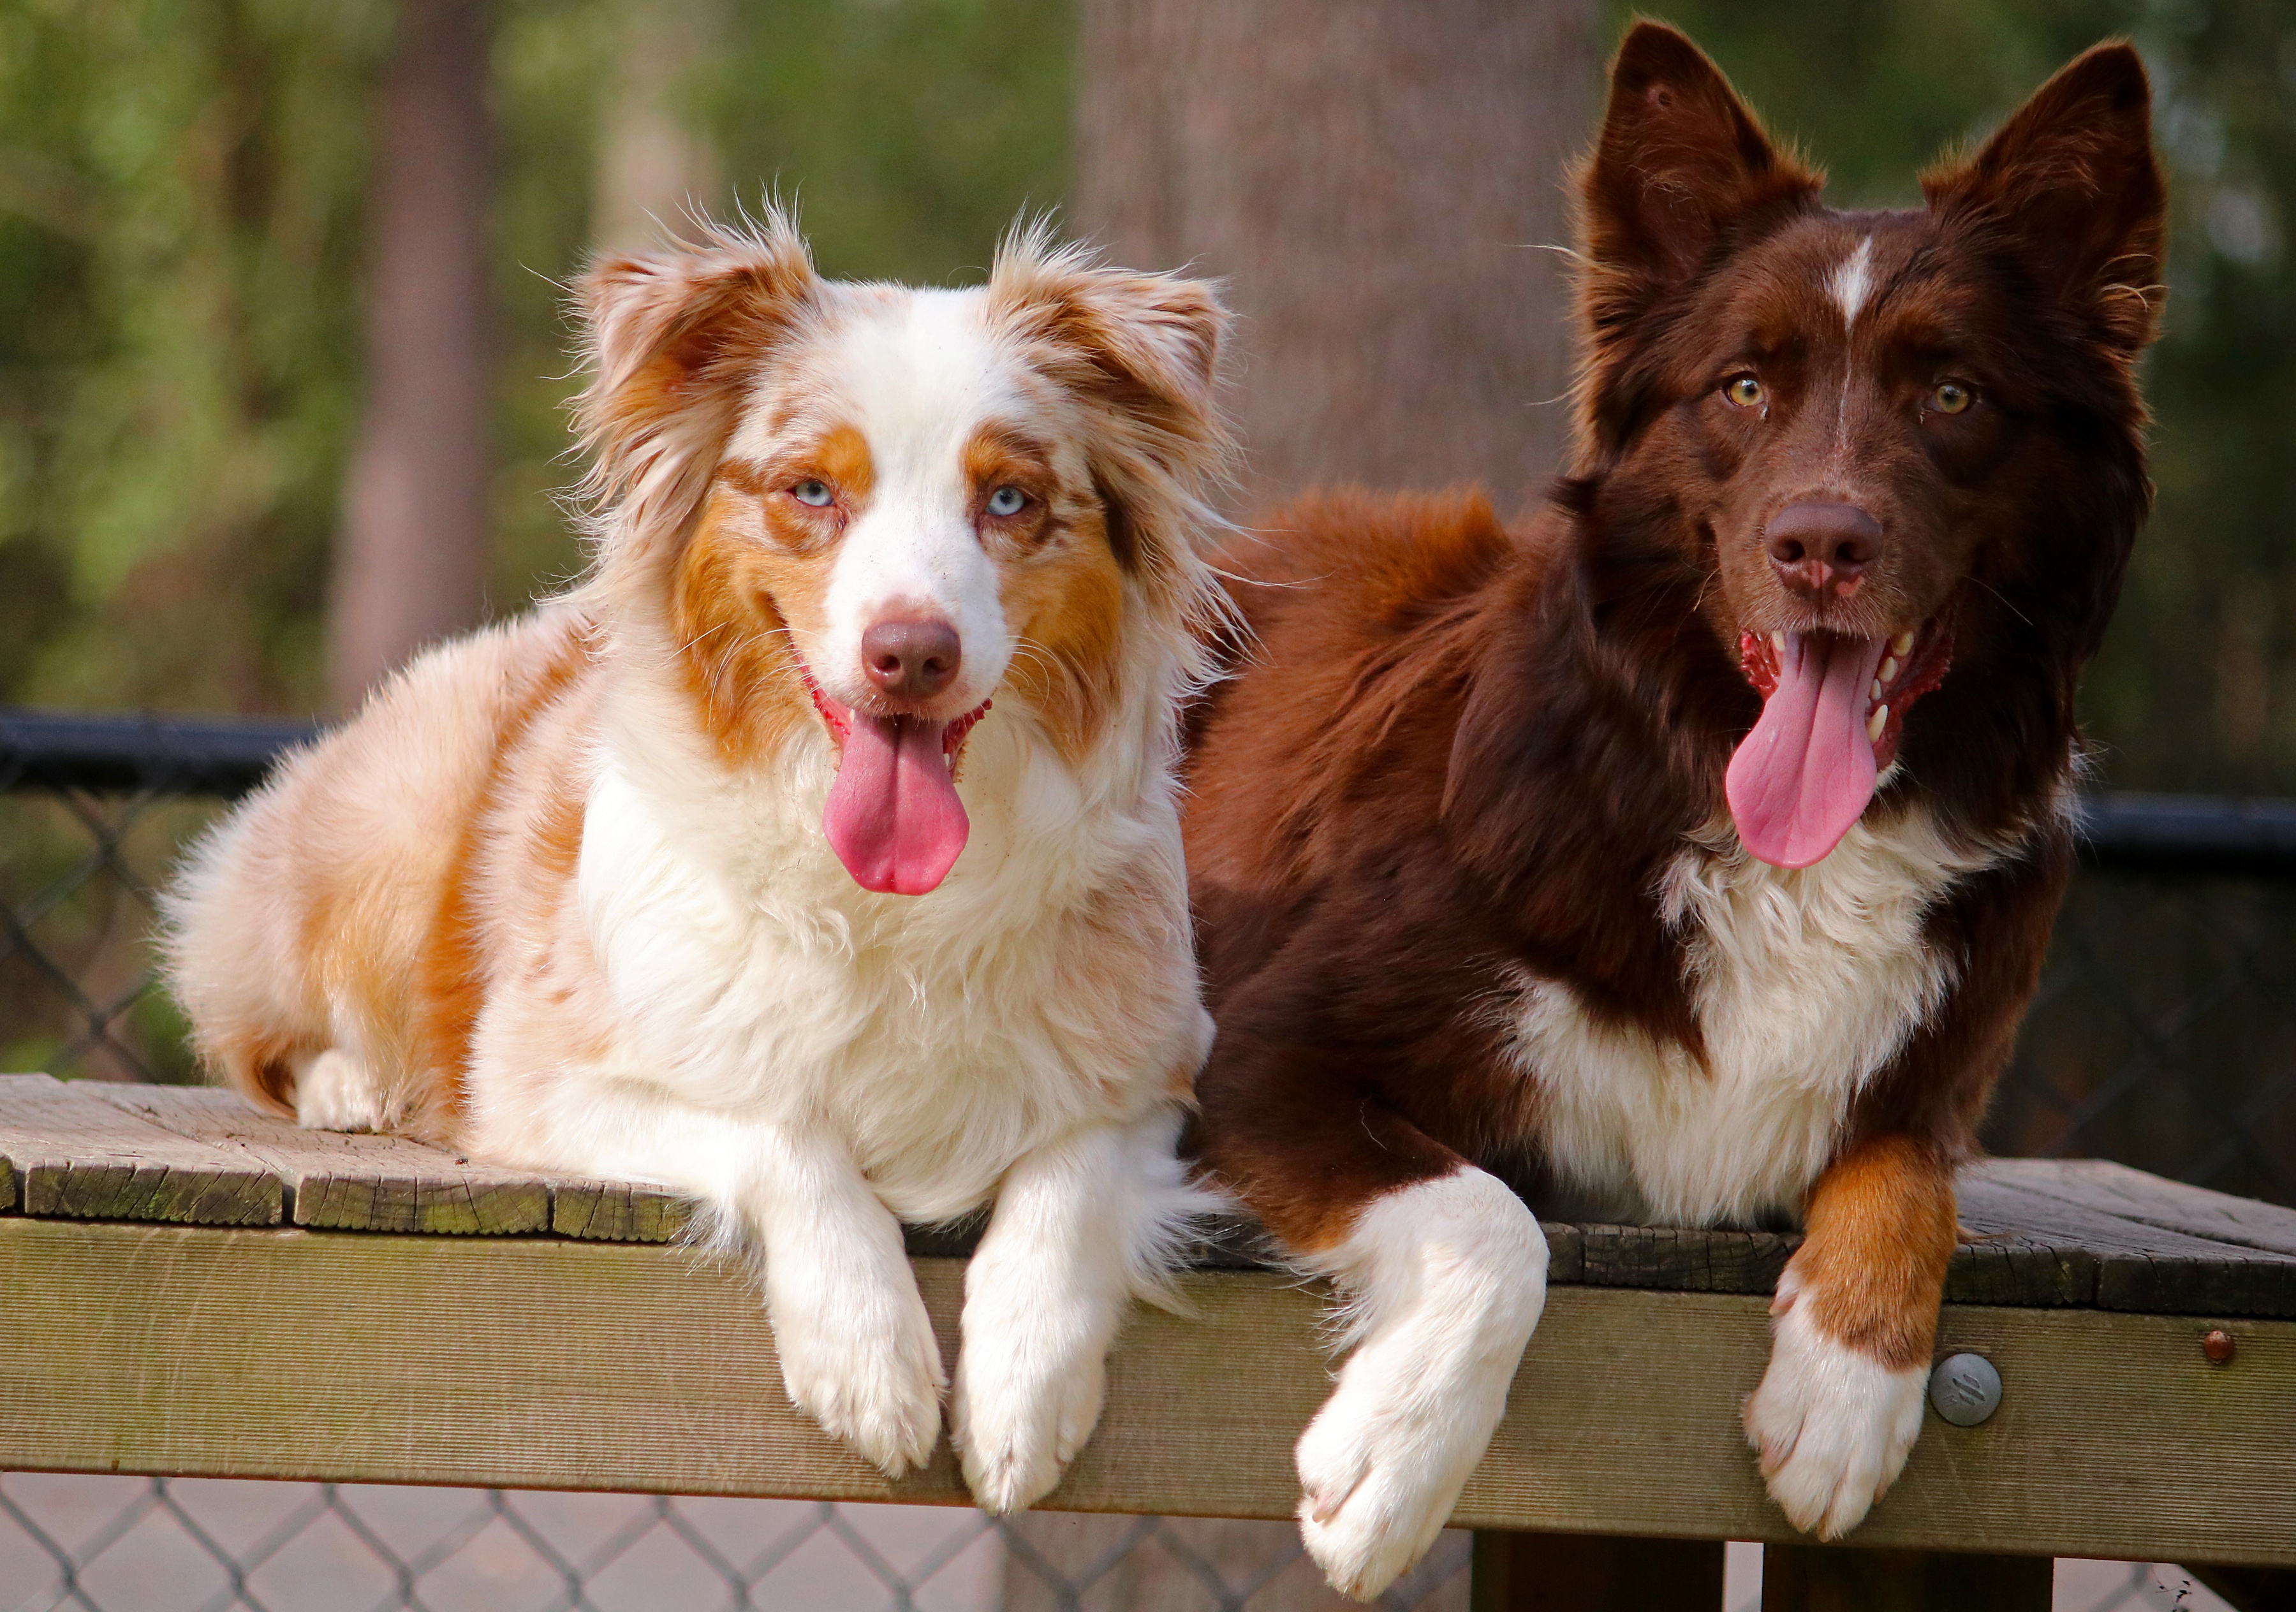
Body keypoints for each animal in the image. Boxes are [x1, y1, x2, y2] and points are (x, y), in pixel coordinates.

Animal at [166, 214, 1240, 1515]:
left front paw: (1025, 1392)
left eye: (1009, 498)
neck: (884, 908)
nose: (911, 653)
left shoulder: (1154, 1072)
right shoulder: (544, 1073)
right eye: (812, 491)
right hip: (389, 819)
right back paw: (352, 1088)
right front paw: (868, 1360)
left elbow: (1068, 1178)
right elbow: (780, 1130)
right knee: (258, 1027)